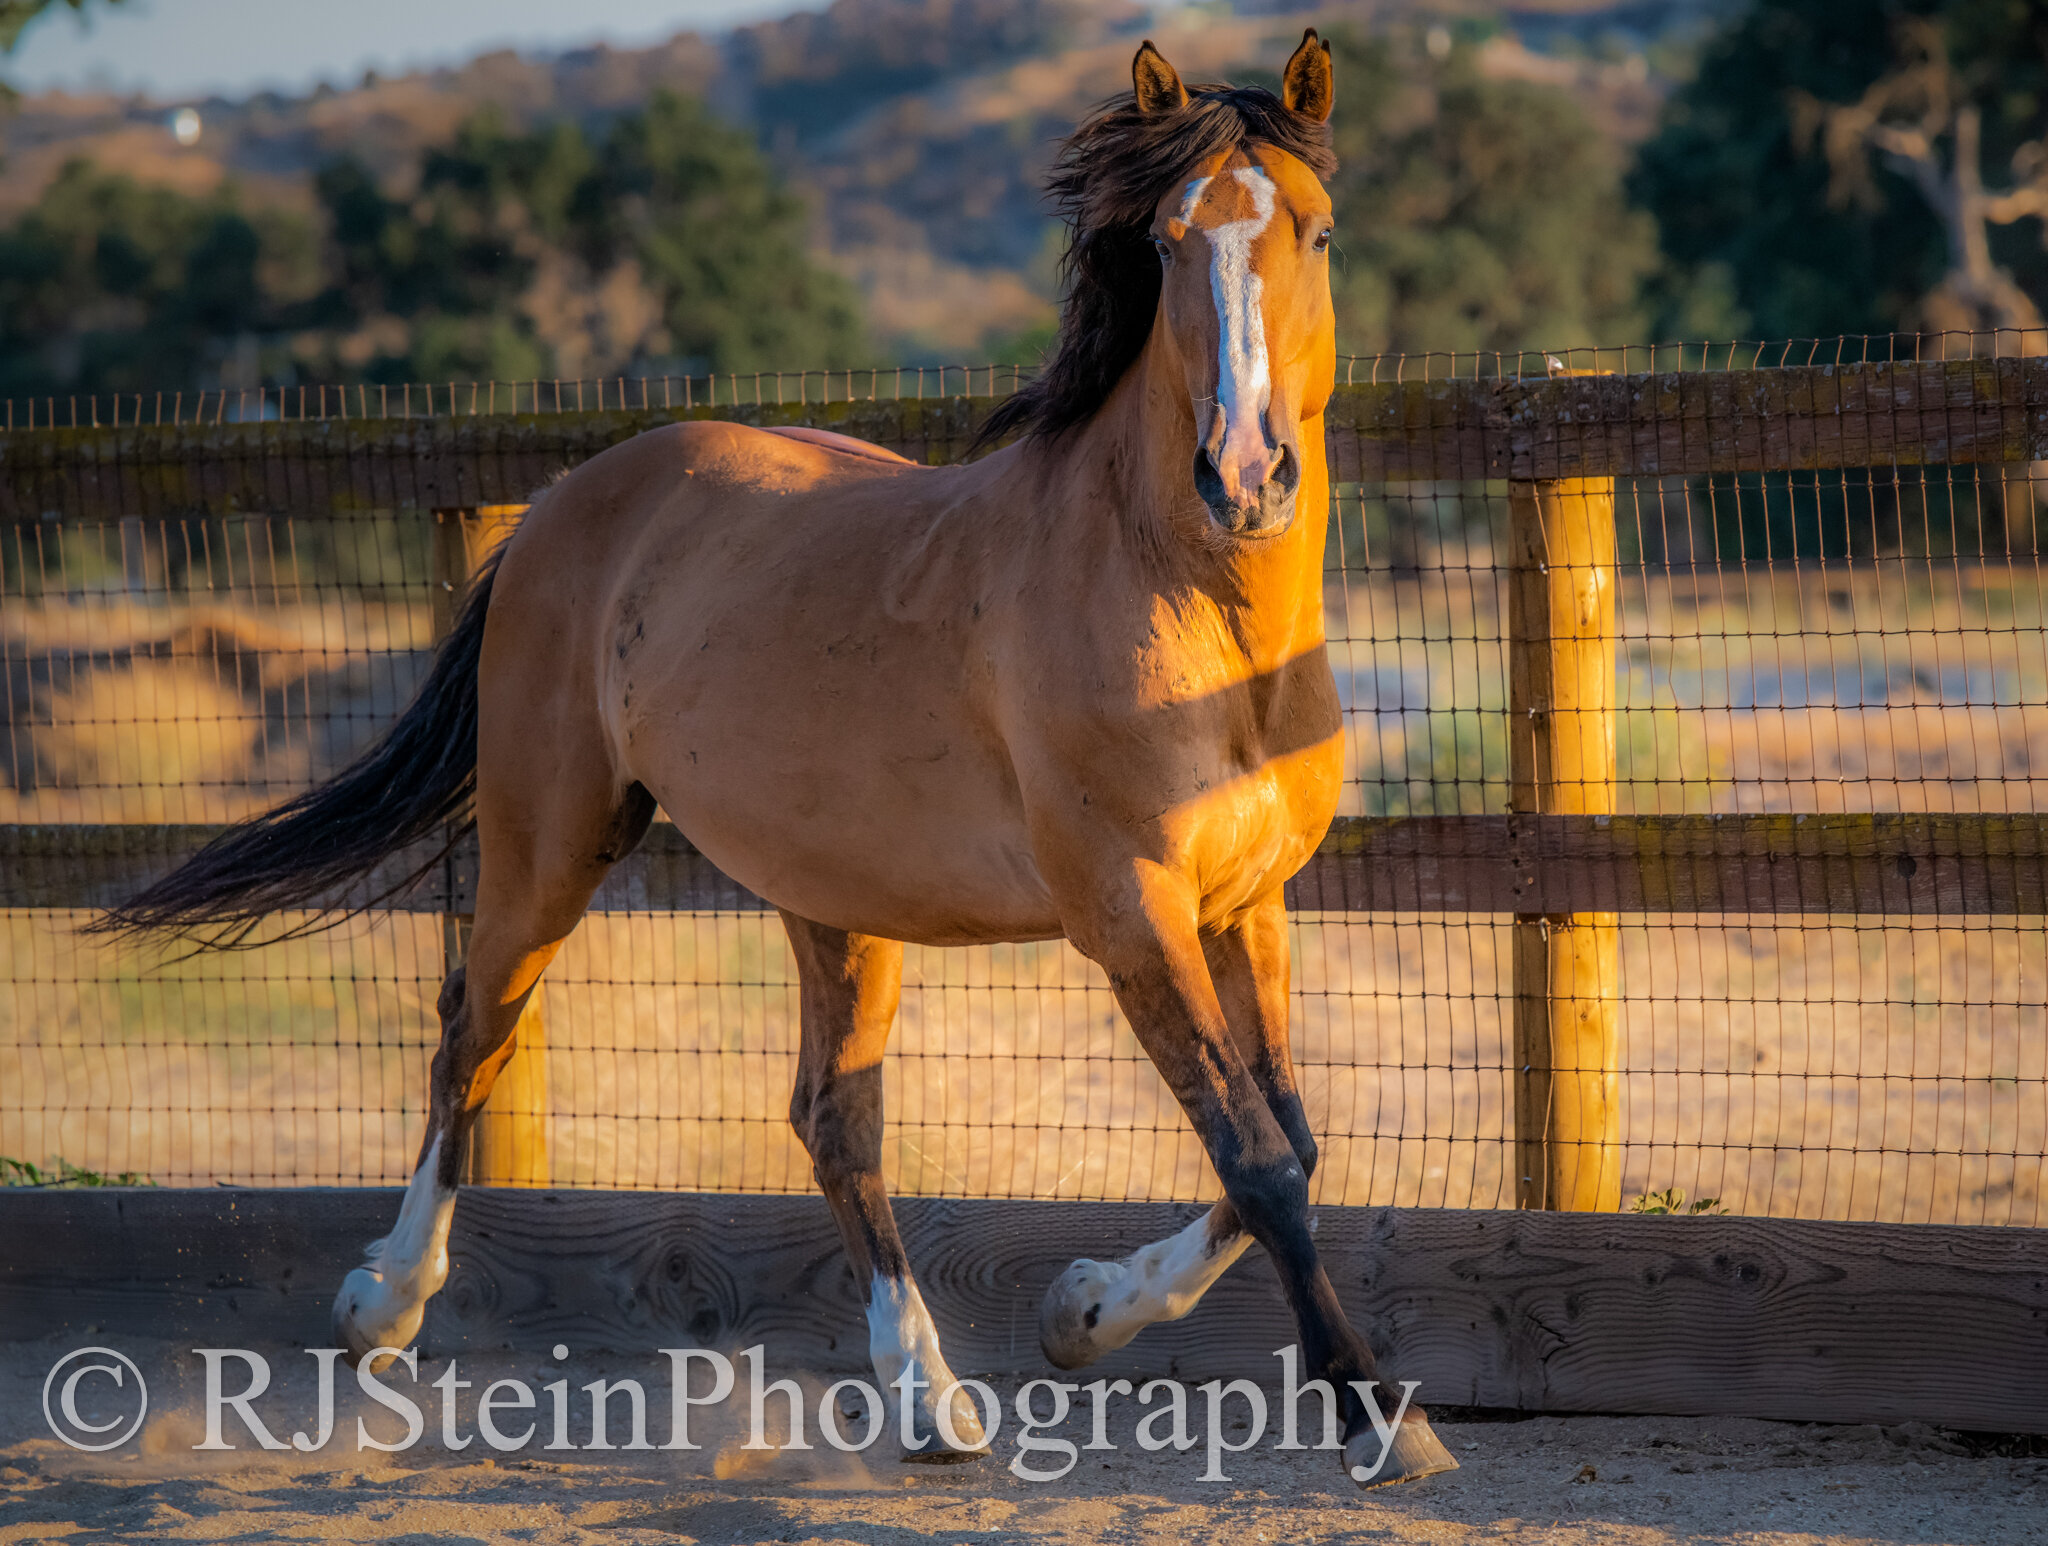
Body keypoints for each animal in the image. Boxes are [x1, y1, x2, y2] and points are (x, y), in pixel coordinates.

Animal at [108, 33, 1458, 1490]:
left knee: (832, 1120)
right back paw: (383, 1306)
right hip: (551, 834)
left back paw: (928, 1398)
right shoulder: (1131, 914)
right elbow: (1258, 1159)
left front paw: (1085, 1309)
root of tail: (560, 508)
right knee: (475, 1028)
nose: (1242, 475)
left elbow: (1289, 1144)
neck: (1185, 603)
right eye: (1163, 241)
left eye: (1316, 231)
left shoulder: (1244, 905)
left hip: (836, 902)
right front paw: (1375, 1416)